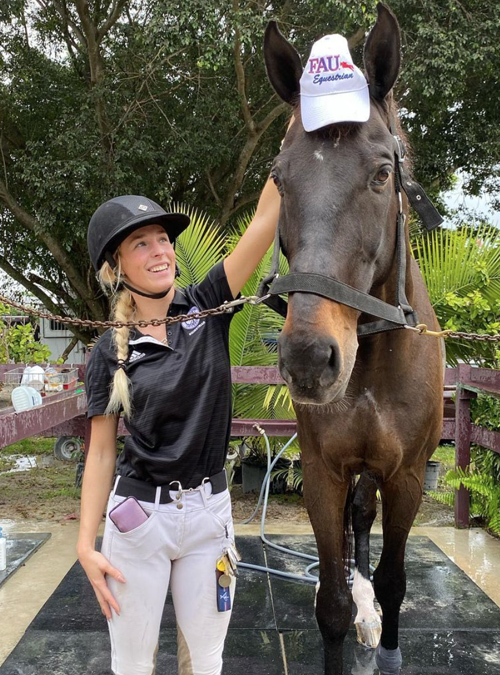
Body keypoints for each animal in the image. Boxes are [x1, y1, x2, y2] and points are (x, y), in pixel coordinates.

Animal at [263, 4, 443, 674]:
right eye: (279, 178)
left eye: (382, 173)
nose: (309, 359)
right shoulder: (323, 470)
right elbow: (333, 604)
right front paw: (344, 602)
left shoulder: (407, 475)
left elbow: (392, 580)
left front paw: (386, 642)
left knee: (364, 522)